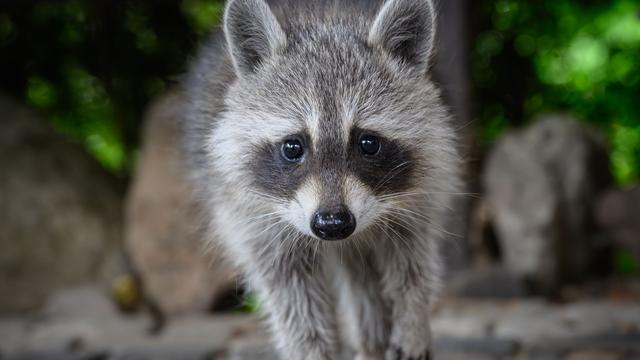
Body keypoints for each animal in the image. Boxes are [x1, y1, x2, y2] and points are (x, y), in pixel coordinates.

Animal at [184, 0, 460, 358]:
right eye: (292, 147)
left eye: (368, 143)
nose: (332, 224)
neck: (325, 24)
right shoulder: (252, 217)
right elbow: (292, 297)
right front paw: (312, 349)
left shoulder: (420, 193)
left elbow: (412, 262)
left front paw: (412, 317)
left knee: (363, 277)